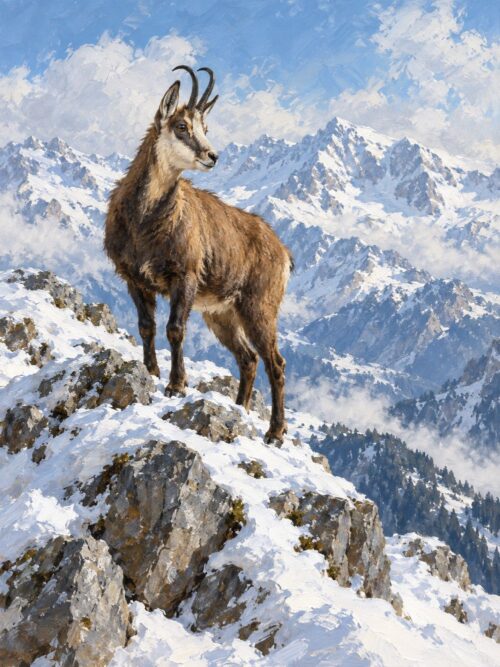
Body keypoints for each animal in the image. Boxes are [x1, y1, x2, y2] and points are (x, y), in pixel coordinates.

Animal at [105, 65, 292, 442]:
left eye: (206, 128)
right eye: (181, 126)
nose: (212, 156)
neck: (145, 220)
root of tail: (283, 252)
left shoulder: (186, 277)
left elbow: (175, 329)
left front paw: (176, 385)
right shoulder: (134, 278)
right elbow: (146, 326)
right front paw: (151, 371)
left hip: (258, 307)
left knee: (275, 362)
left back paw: (275, 432)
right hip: (222, 314)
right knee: (248, 358)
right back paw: (240, 409)